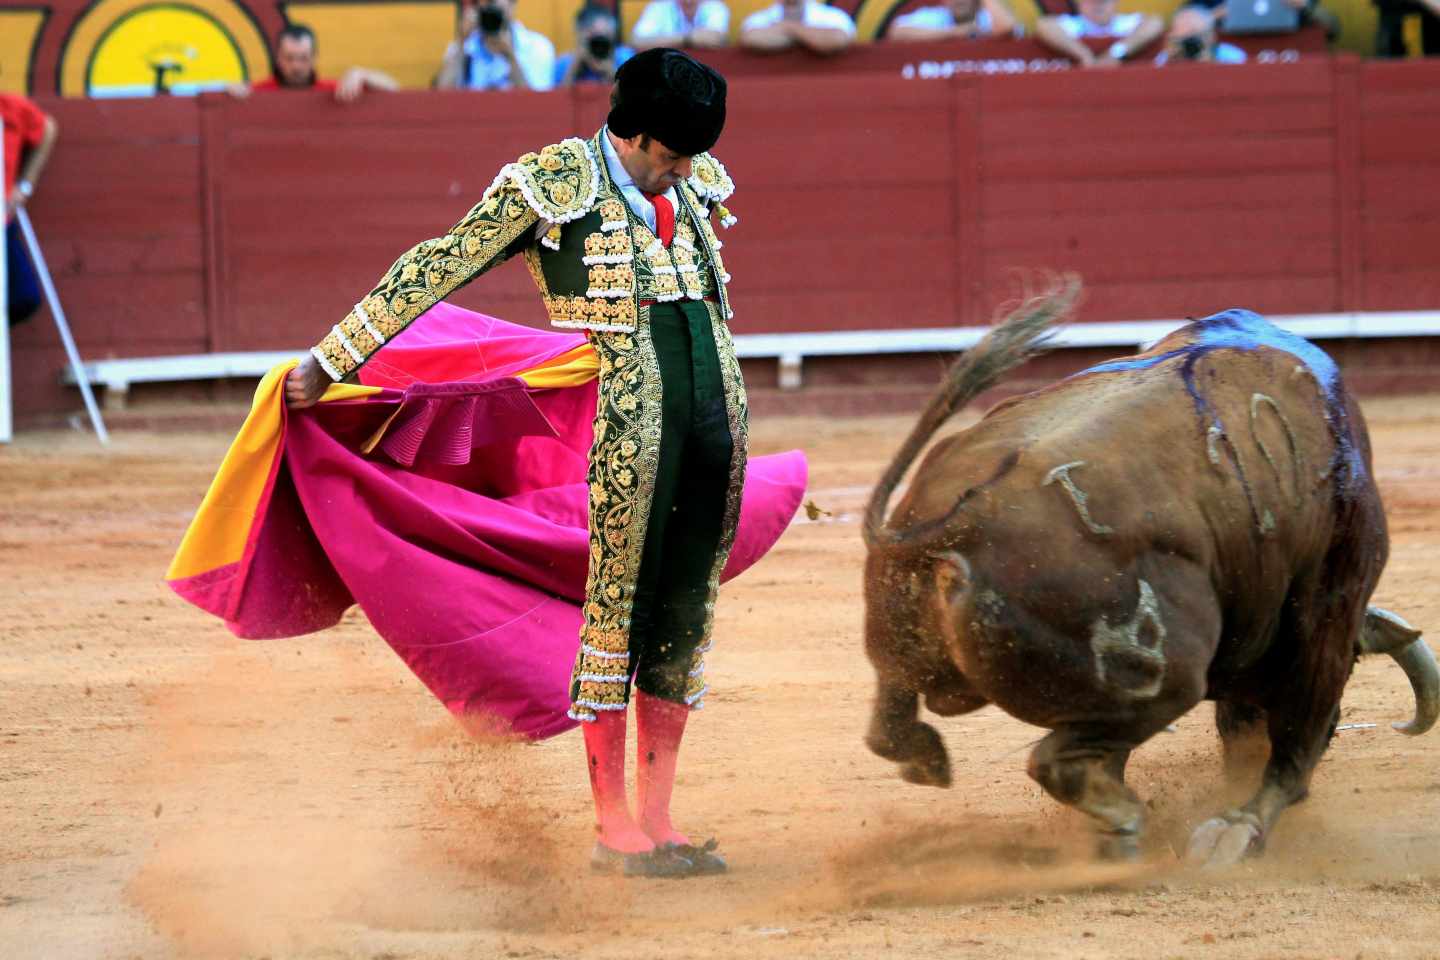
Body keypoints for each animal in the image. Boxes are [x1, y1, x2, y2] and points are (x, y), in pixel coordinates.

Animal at [858, 287, 1434, 869]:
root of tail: (960, 519)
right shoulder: (1331, 615)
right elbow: (1295, 745)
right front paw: (1237, 828)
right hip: (1167, 678)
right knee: (1059, 760)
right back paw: (1139, 824)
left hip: (901, 640)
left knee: (891, 728)